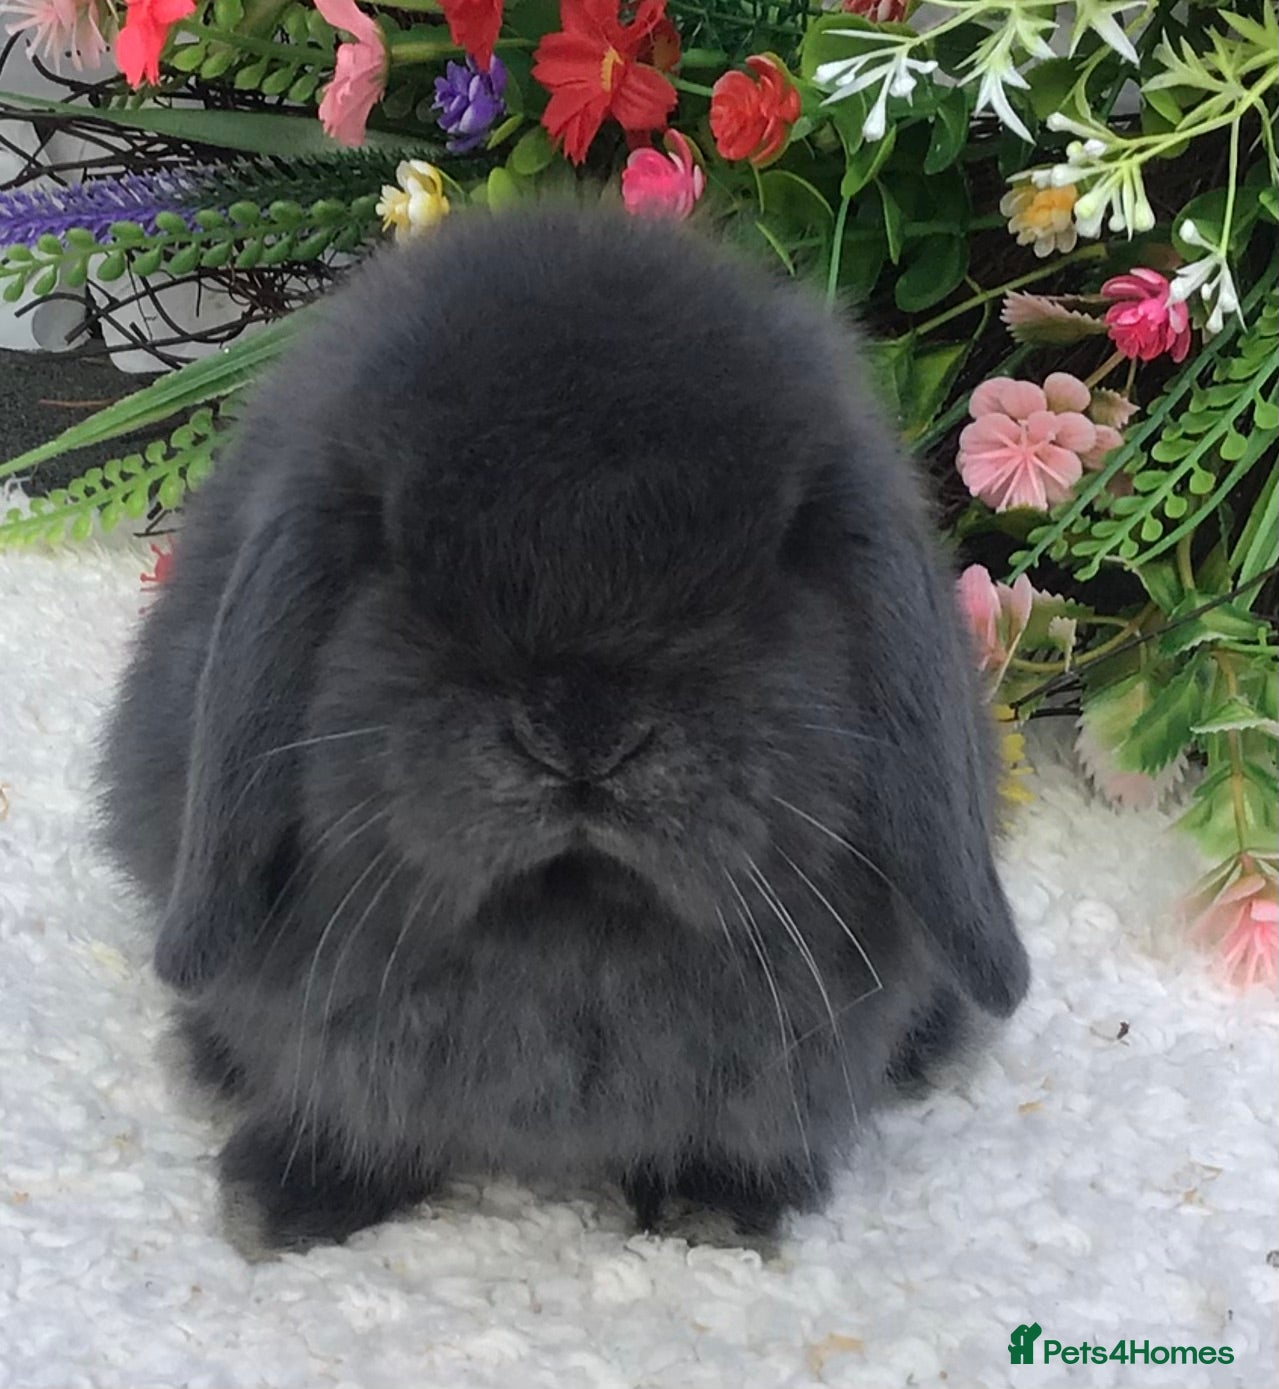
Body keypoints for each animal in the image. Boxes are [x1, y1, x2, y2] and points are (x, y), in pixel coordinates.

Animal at [96, 203, 1029, 1251]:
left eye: (770, 560)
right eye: (396, 551)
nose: (583, 733)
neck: (569, 930)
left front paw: (716, 1207)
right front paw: (288, 1193)